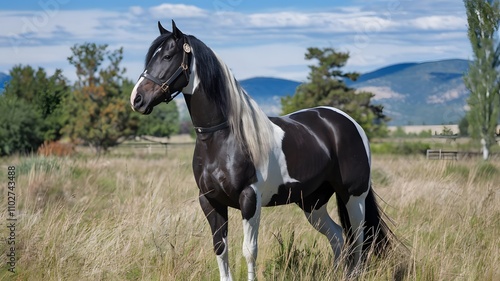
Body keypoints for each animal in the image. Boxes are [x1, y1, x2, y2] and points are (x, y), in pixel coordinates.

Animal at [130, 20, 394, 278]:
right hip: (312, 203)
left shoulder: (250, 200)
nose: (137, 99)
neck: (224, 138)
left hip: (353, 197)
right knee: (338, 237)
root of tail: (347, 122)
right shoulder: (210, 201)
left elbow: (249, 251)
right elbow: (220, 249)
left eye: (167, 56)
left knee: (359, 241)